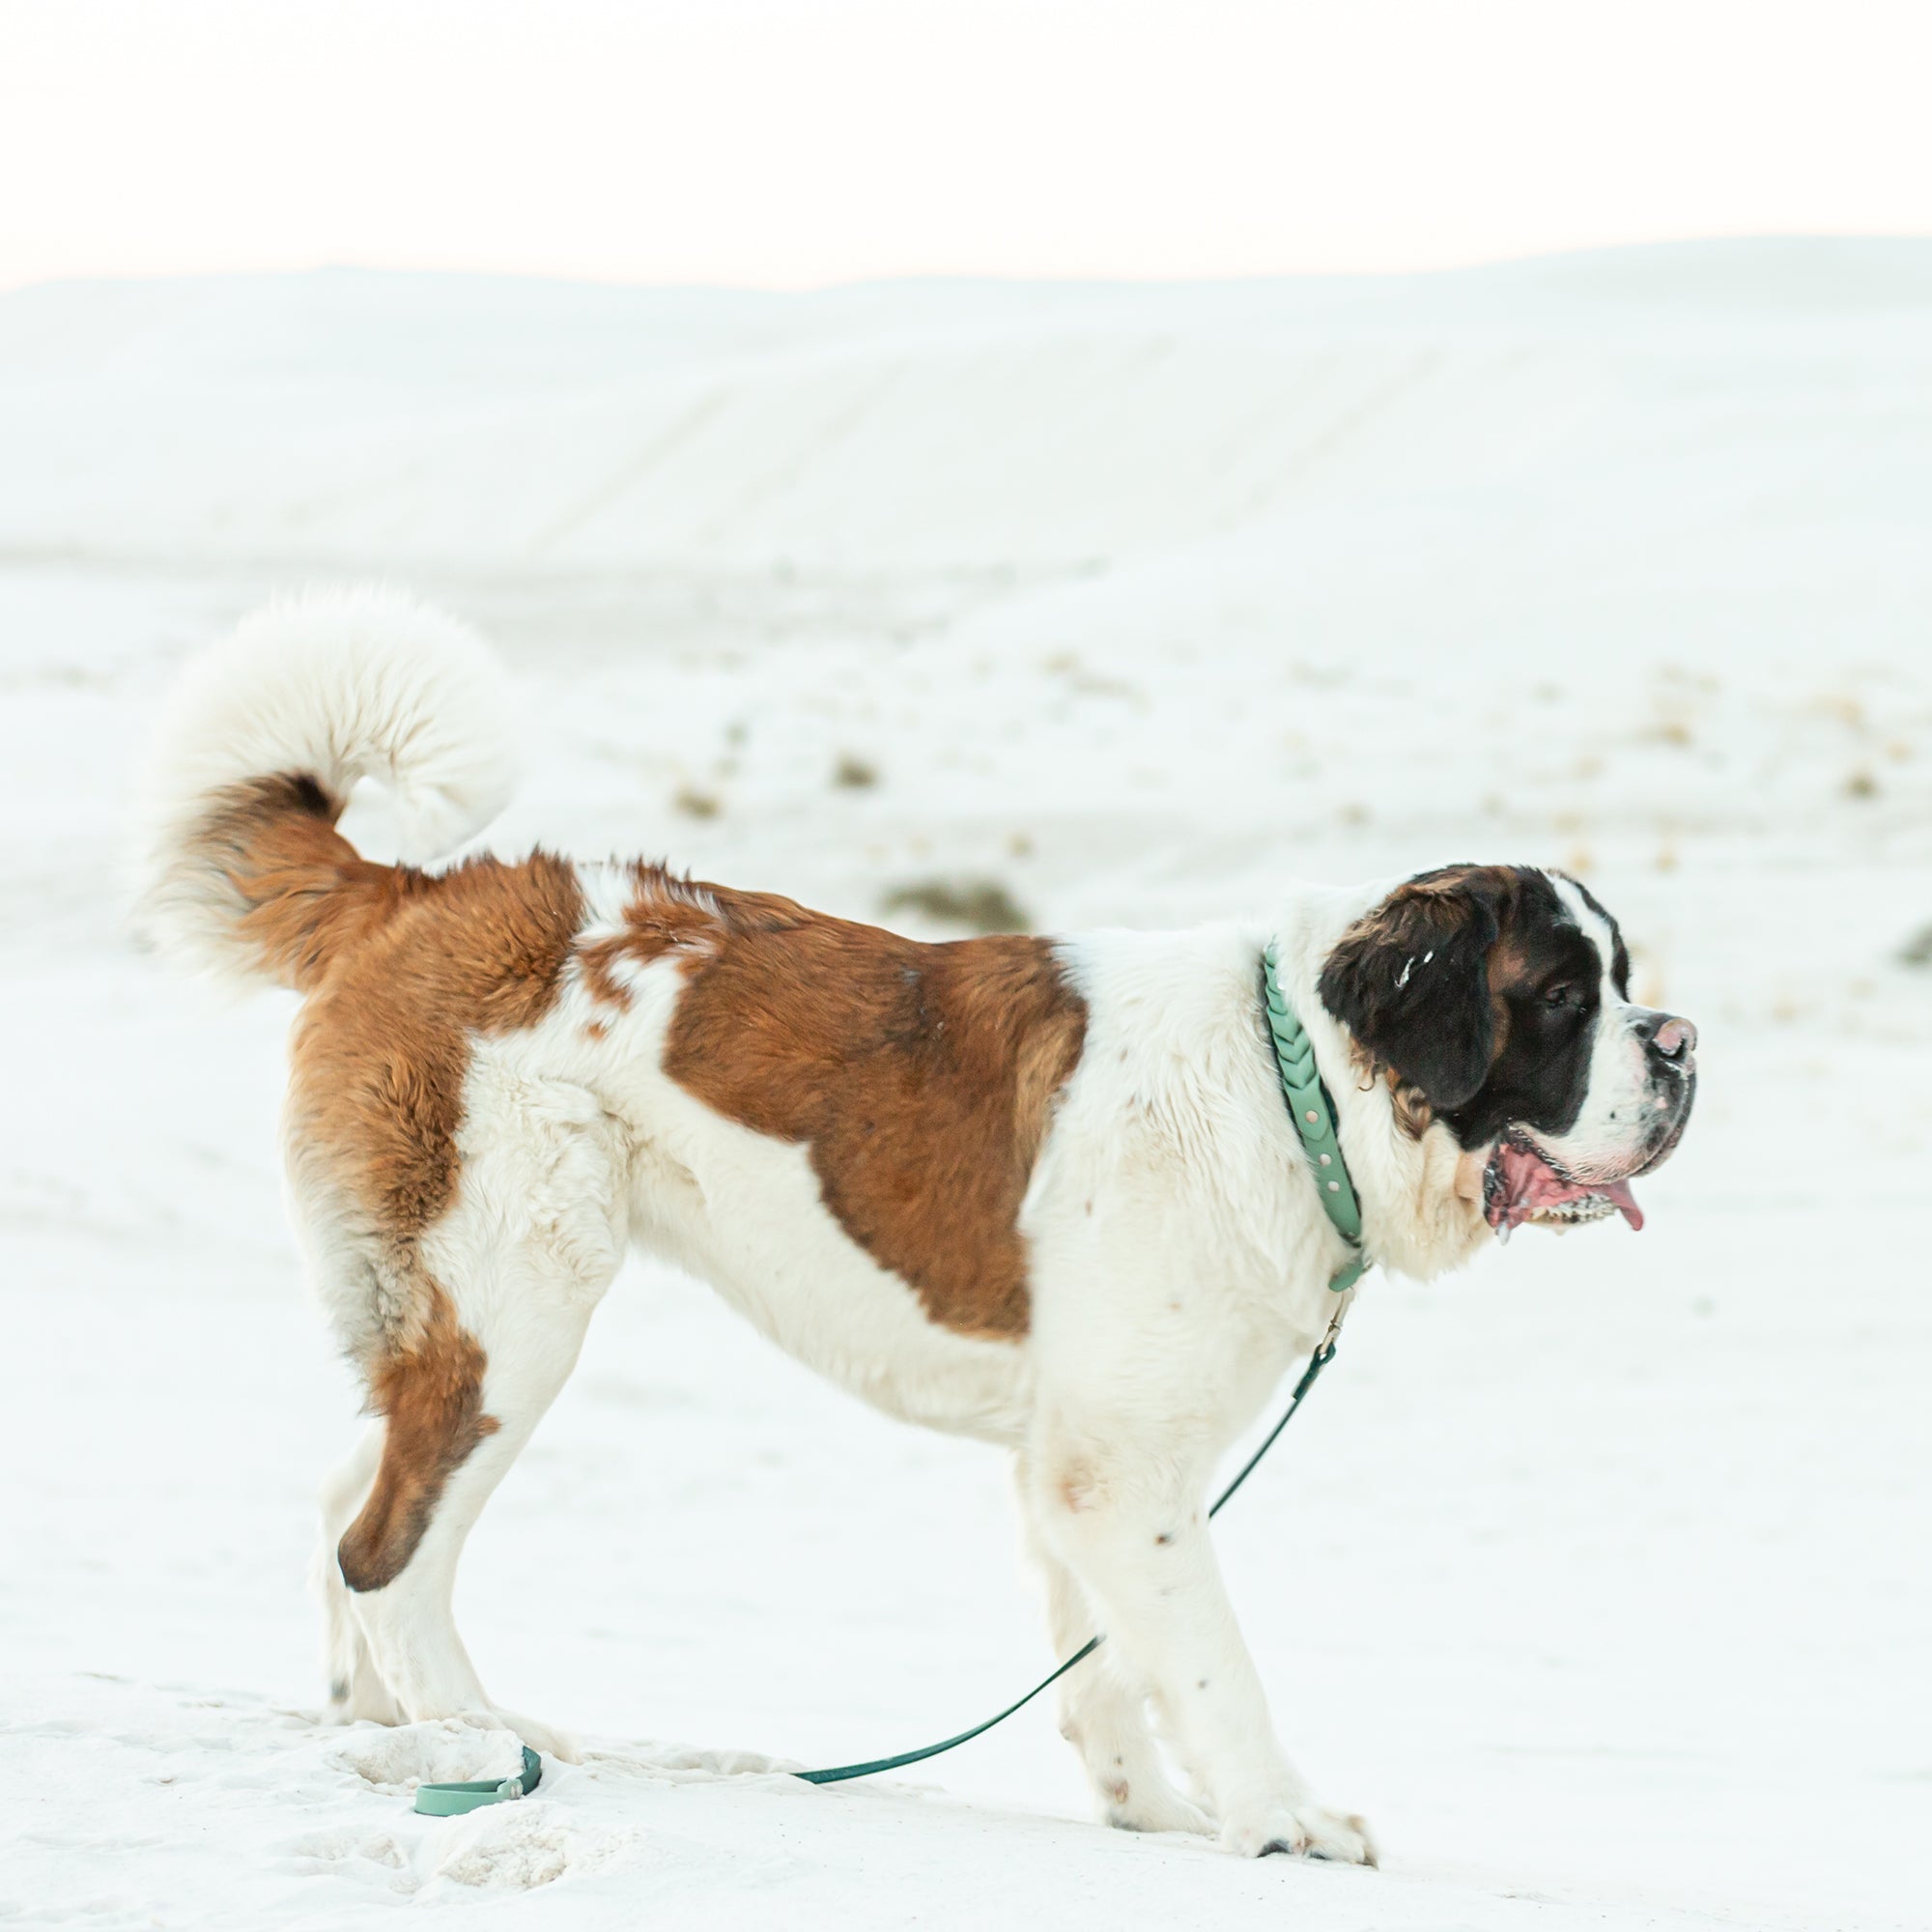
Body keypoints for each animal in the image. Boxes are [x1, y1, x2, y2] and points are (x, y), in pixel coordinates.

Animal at [143, 587, 1700, 1855]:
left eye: (1623, 982)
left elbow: (1106, 1657)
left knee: (351, 1500)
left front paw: (1149, 1812)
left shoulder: (1081, 1454)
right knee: (387, 1547)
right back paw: (482, 1739)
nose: (1681, 1043)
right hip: (518, 1304)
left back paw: (393, 1735)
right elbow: (1209, 1654)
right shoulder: (1120, 1462)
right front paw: (1282, 1819)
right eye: (1563, 1000)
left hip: (451, 1316)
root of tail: (418, 893)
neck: (1292, 1078)